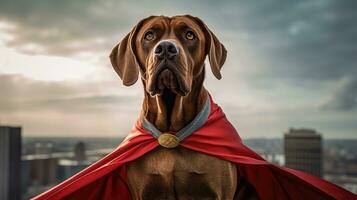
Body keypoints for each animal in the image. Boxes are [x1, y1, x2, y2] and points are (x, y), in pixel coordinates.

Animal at [108, 15, 256, 200]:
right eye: (149, 35)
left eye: (190, 35)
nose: (165, 48)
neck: (171, 130)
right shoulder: (142, 192)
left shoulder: (220, 192)